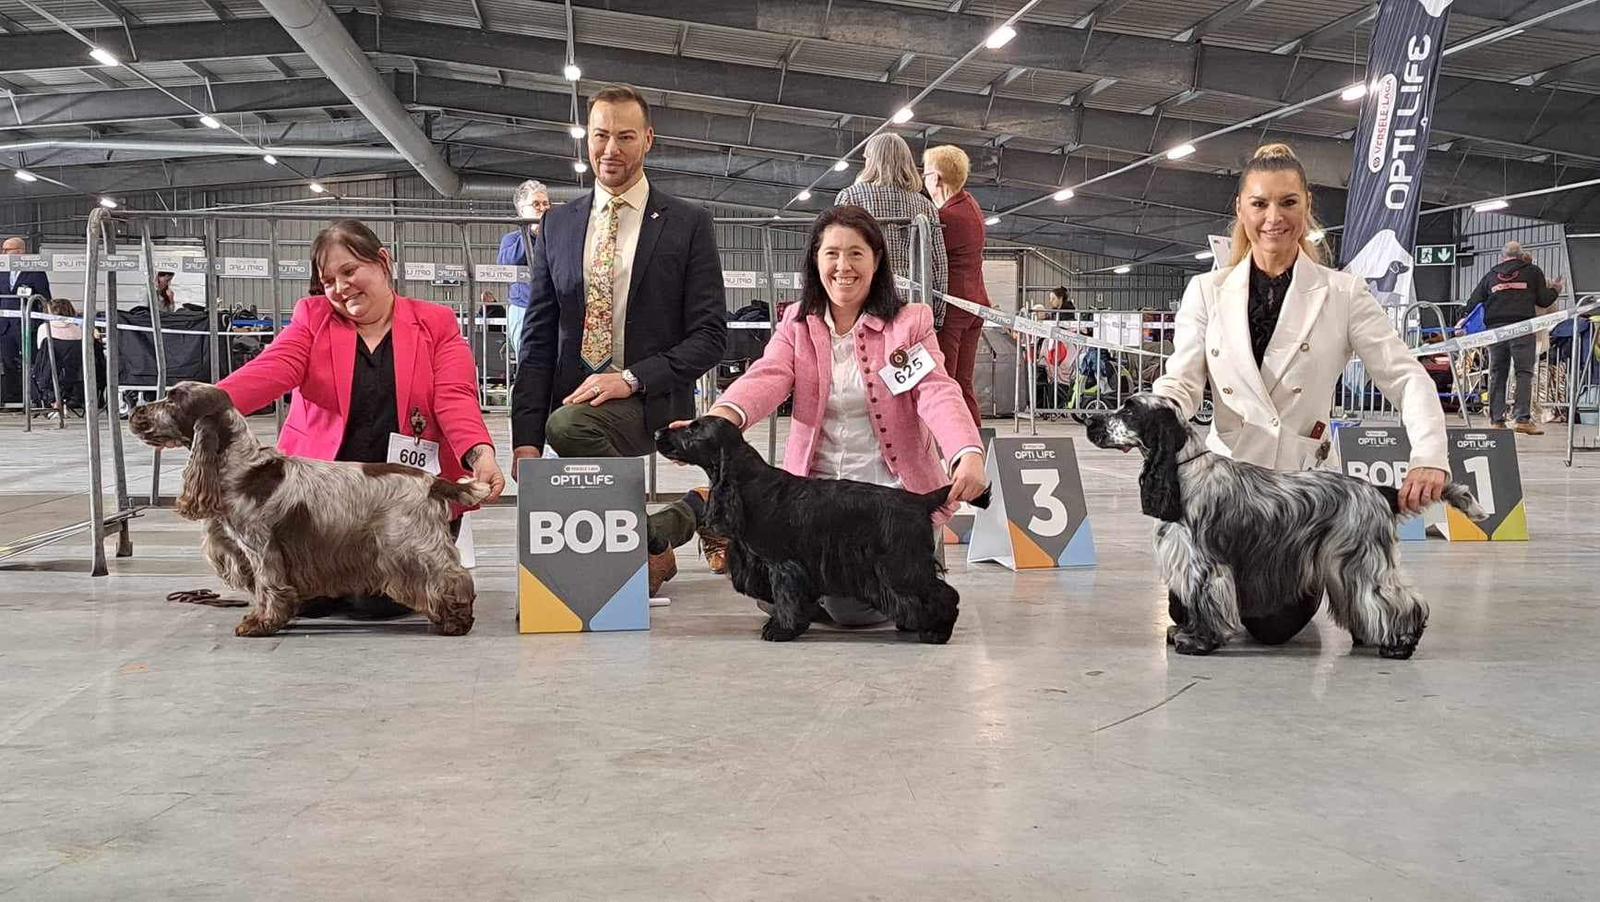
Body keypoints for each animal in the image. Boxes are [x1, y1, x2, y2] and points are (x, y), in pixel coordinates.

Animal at [128, 381, 488, 637]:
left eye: (173, 400)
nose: (135, 409)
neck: (241, 468)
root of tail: (432, 482)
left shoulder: (262, 548)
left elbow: (268, 586)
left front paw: (260, 623)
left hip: (409, 544)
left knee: (451, 576)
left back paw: (456, 621)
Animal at [654, 415, 987, 644]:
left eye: (694, 429)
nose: (658, 432)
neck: (749, 484)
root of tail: (919, 500)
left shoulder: (782, 564)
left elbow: (786, 596)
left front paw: (781, 629)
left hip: (900, 565)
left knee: (945, 594)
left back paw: (937, 633)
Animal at [1086, 394, 1487, 659]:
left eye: (1129, 410)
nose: (1090, 422)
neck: (1184, 470)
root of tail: (1377, 490)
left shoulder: (1205, 564)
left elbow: (1207, 604)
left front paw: (1198, 641)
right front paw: (1184, 632)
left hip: (1361, 559)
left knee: (1400, 600)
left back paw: (1401, 644)